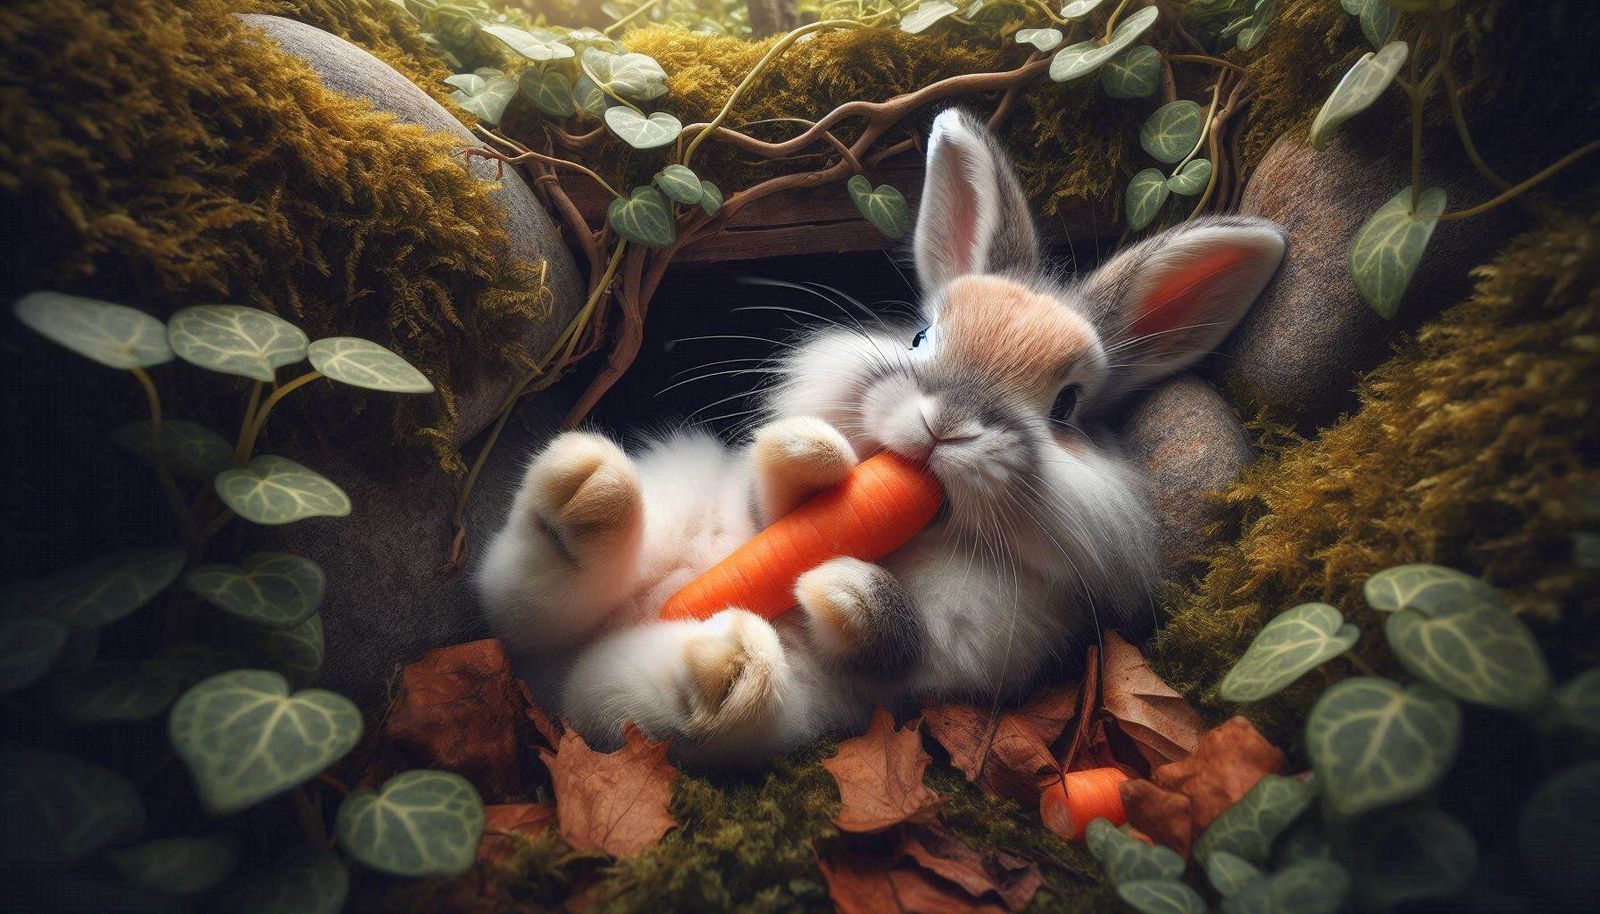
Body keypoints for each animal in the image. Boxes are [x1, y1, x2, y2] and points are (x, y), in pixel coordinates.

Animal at [476, 108, 1286, 767]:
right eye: (922, 336)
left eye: (1067, 409)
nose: (945, 425)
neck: (916, 538)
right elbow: (772, 504)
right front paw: (805, 456)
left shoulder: (971, 642)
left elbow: (895, 637)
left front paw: (844, 588)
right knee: (528, 595)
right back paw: (582, 503)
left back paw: (721, 661)